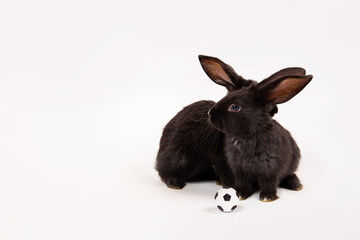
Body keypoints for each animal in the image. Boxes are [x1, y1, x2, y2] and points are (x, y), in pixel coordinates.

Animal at [155, 55, 310, 198]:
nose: (273, 111)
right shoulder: (223, 160)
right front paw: (235, 189)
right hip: (178, 157)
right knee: (164, 171)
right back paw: (174, 183)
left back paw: (296, 184)